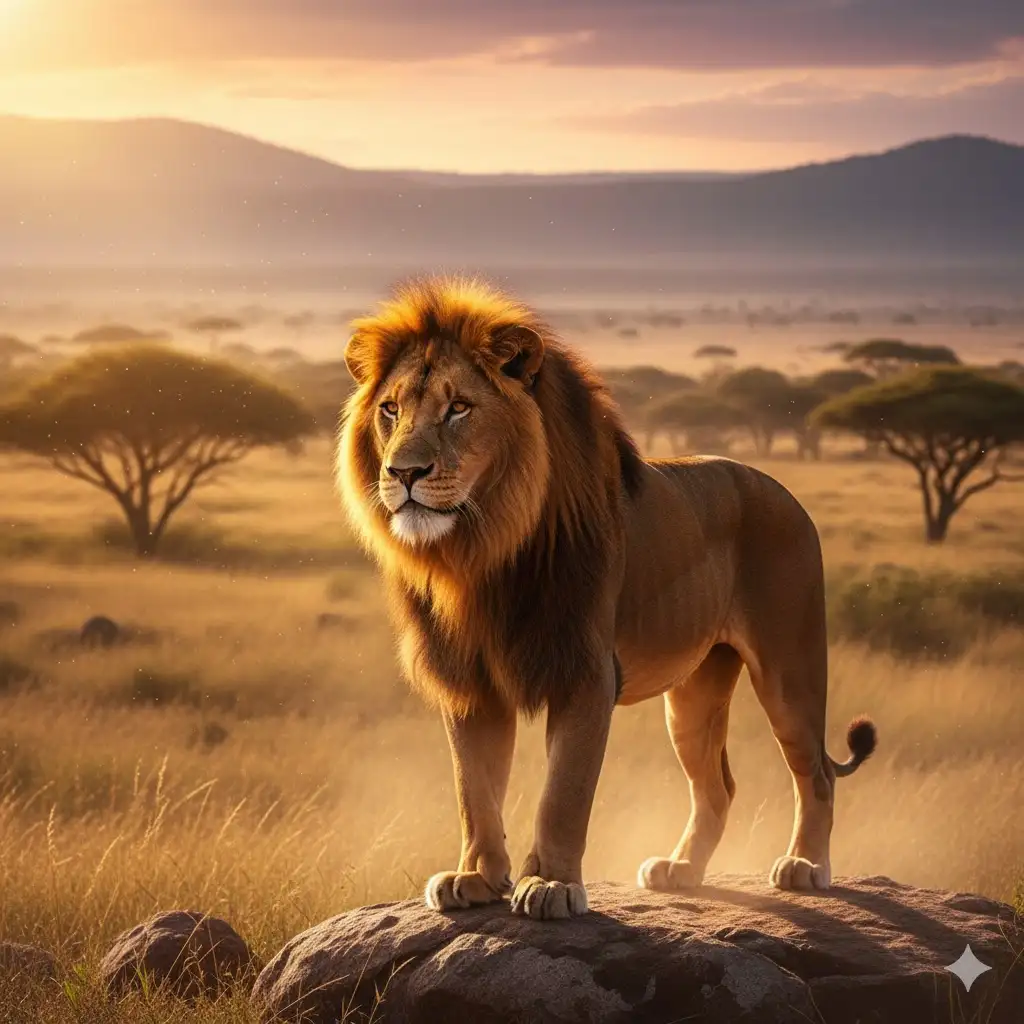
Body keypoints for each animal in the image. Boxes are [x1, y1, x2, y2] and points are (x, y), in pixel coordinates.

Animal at [336, 276, 876, 920]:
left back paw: (805, 867)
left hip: (789, 667)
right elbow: (475, 789)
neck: (482, 553)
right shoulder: (471, 683)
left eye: (458, 407)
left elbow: (563, 793)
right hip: (693, 695)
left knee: (816, 771)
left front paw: (550, 885)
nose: (403, 473)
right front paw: (476, 877)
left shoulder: (585, 672)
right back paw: (681, 870)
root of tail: (783, 491)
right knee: (717, 785)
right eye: (390, 410)